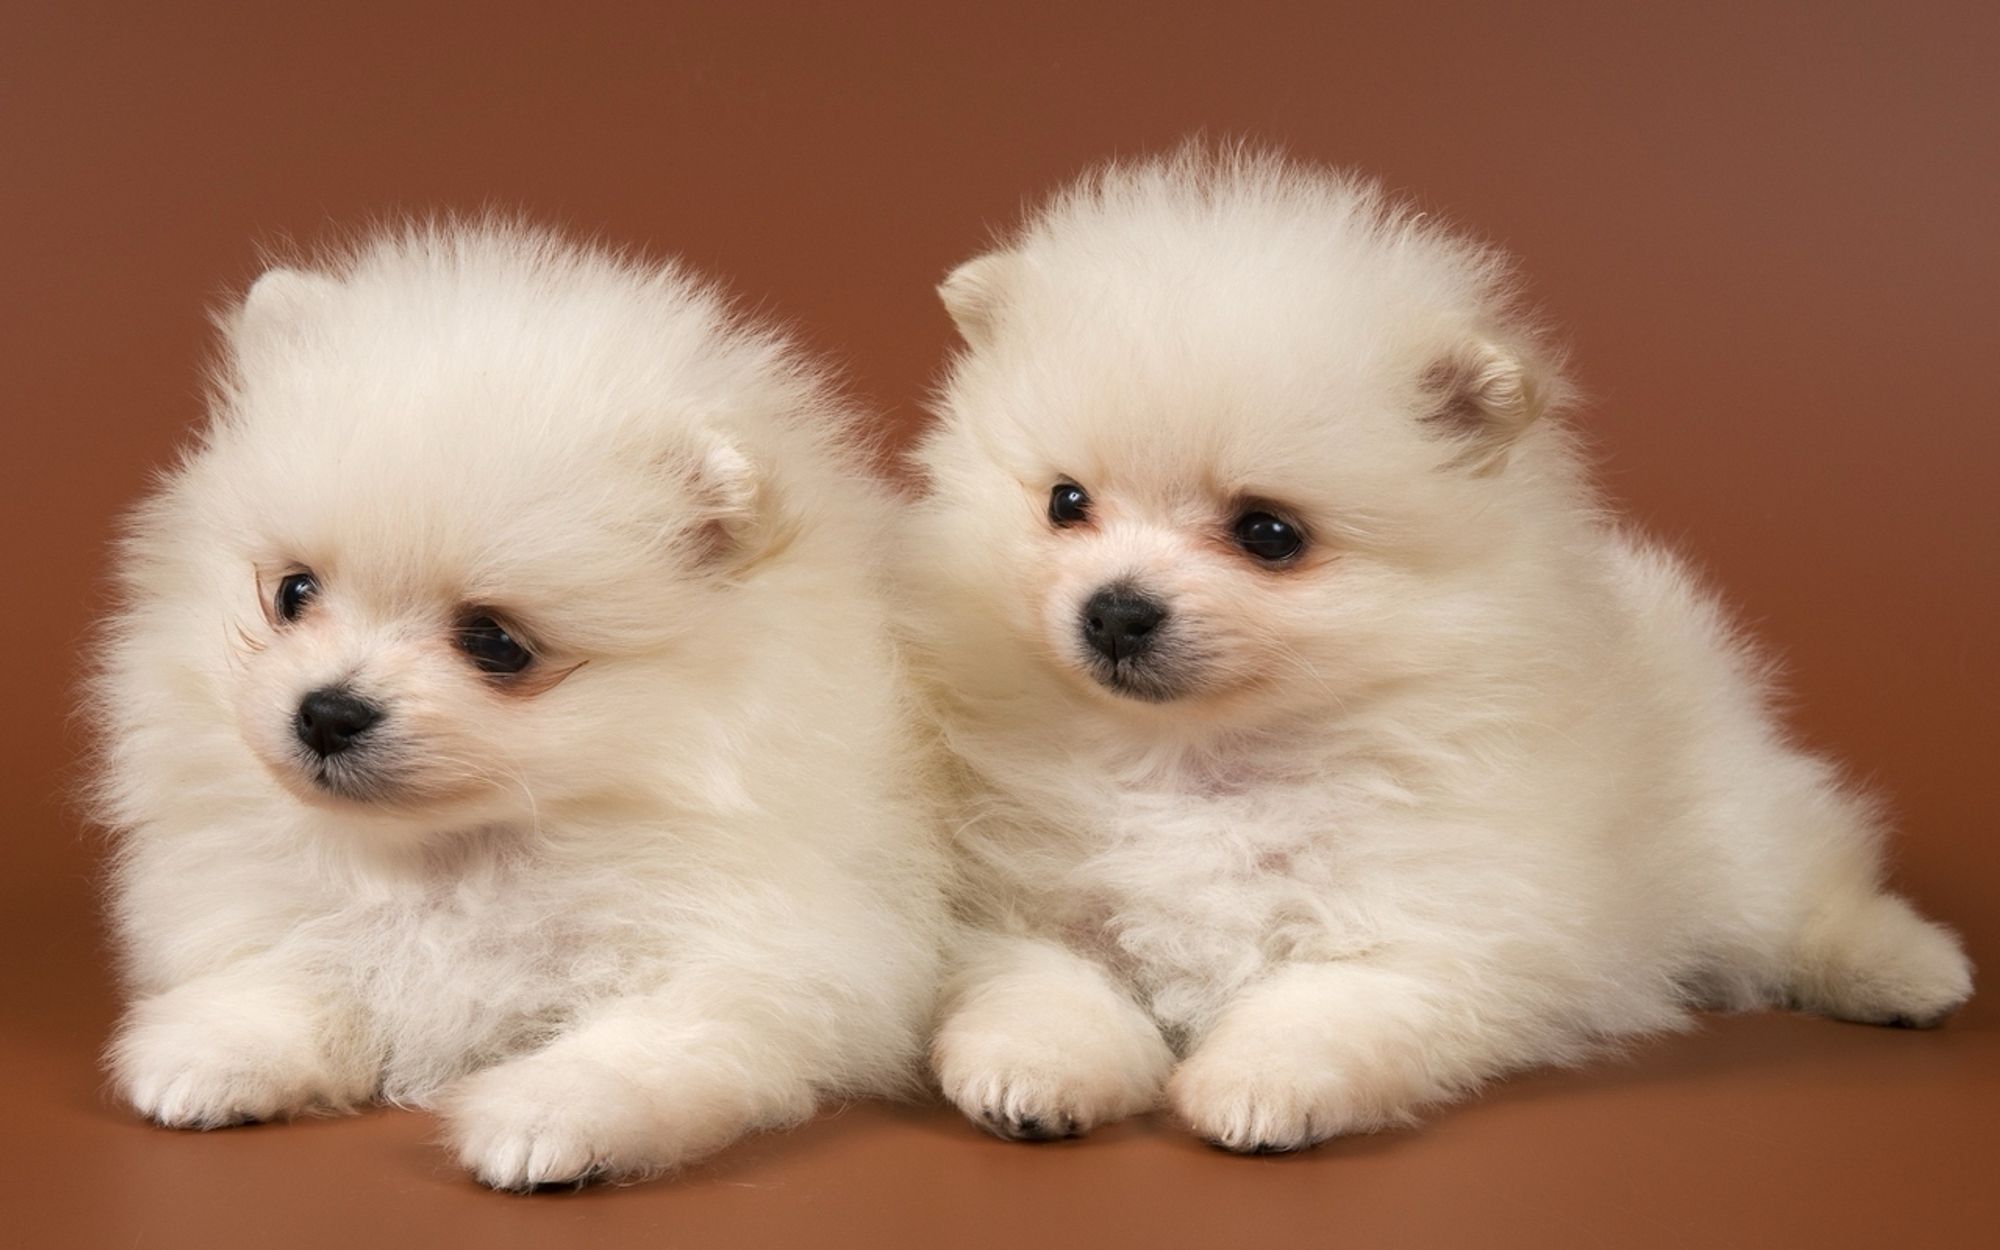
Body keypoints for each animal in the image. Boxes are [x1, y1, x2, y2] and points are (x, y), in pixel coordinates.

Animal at [97, 219, 956, 1184]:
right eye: (292, 593)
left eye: (496, 643)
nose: (326, 712)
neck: (461, 857)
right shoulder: (305, 922)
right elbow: (304, 975)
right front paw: (213, 1051)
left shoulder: (762, 952)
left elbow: (649, 1043)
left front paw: (550, 1114)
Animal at [916, 149, 1976, 1152]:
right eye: (1066, 503)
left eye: (1268, 534)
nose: (1116, 611)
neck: (1200, 765)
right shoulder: (1015, 908)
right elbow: (1042, 985)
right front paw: (1032, 1074)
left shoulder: (1428, 929)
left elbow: (1321, 1009)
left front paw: (1259, 1086)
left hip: (1734, 834)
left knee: (1805, 892)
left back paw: (1907, 969)